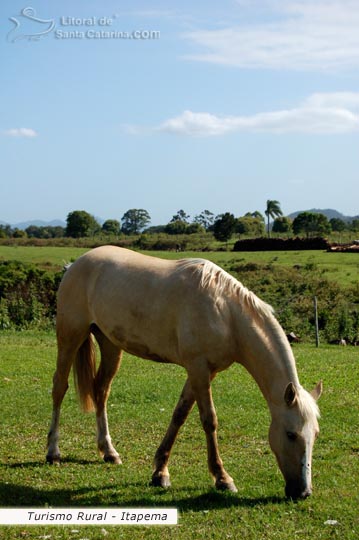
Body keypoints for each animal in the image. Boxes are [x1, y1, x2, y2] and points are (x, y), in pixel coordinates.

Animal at [47, 247, 324, 500]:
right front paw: (222, 479)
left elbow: (179, 414)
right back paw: (53, 452)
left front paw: (160, 472)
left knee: (101, 391)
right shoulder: (198, 368)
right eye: (291, 434)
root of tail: (75, 264)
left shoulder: (204, 372)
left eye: (315, 434)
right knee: (59, 387)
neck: (225, 312)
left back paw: (109, 452)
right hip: (70, 335)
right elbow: (209, 420)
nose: (303, 492)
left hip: (110, 344)